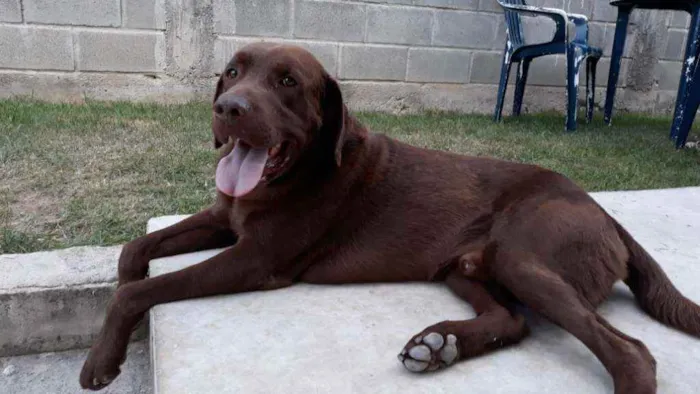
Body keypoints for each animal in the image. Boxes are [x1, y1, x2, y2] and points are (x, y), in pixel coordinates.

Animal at [79, 43, 700, 390]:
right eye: (232, 73)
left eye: (287, 82)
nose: (228, 109)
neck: (297, 171)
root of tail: (605, 212)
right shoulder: (223, 219)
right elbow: (134, 253)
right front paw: (117, 313)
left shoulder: (255, 259)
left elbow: (138, 293)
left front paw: (101, 361)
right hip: (465, 267)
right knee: (512, 320)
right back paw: (440, 346)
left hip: (524, 256)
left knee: (632, 353)